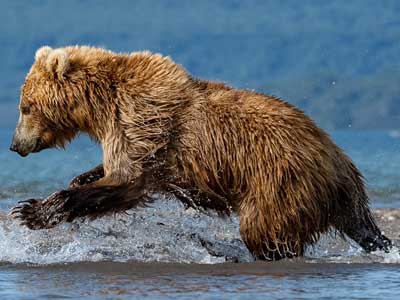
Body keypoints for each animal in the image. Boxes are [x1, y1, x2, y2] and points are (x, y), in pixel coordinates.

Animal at [9, 45, 390, 258]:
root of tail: (339, 161)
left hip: (281, 181)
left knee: (264, 230)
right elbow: (113, 171)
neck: (99, 107)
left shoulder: (142, 120)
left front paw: (30, 211)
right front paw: (81, 177)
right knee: (360, 227)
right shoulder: (130, 131)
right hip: (335, 194)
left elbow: (127, 180)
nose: (15, 145)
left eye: (25, 107)